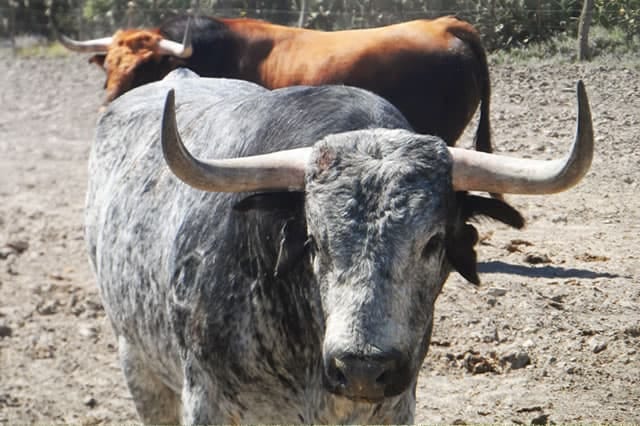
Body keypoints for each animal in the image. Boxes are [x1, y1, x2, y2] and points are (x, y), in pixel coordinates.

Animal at [85, 69, 593, 424]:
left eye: (432, 242)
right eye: (313, 241)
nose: (362, 367)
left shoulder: (393, 406)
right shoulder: (206, 403)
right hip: (137, 359)